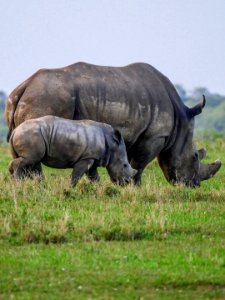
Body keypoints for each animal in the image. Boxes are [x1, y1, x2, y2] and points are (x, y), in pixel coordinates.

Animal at [9, 116, 137, 186]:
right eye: (125, 165)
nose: (127, 183)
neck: (112, 144)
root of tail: (15, 130)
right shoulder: (86, 158)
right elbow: (76, 175)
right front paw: (69, 189)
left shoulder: (92, 157)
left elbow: (94, 177)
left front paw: (99, 190)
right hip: (30, 135)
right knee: (29, 160)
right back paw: (18, 184)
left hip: (29, 134)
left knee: (30, 162)